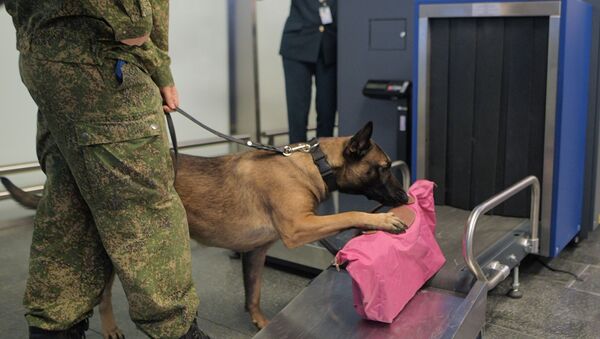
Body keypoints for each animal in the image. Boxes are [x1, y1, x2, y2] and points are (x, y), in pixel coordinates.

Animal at [1, 120, 412, 338]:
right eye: (383, 167)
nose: (406, 195)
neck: (313, 162)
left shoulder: (256, 252)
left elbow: (253, 292)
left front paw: (260, 321)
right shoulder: (299, 228)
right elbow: (348, 214)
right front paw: (381, 220)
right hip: (118, 250)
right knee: (102, 294)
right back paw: (110, 327)